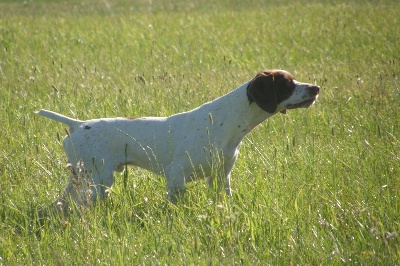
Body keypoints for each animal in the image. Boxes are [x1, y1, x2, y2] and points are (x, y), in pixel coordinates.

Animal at [36, 70, 318, 214]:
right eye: (287, 83)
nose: (316, 88)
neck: (226, 121)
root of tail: (77, 124)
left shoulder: (220, 177)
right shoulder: (176, 177)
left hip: (80, 178)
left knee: (62, 201)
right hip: (99, 181)